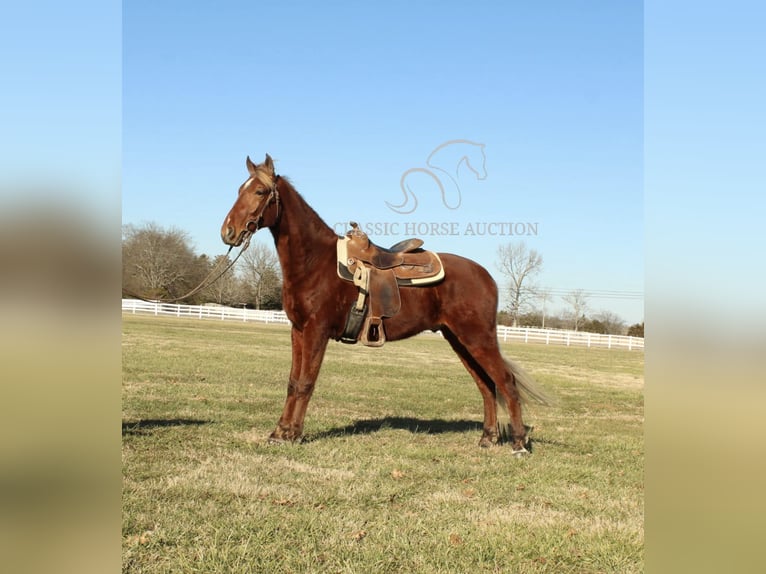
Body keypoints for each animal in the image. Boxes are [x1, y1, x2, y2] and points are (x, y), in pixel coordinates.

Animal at [222, 154, 552, 460]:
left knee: (505, 382)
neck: (315, 262)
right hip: (459, 339)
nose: (228, 232)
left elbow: (305, 383)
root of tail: (486, 276)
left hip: (478, 338)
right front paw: (280, 432)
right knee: (486, 385)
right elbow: (293, 382)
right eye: (240, 189)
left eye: (260, 191)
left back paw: (519, 444)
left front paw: (293, 434)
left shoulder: (316, 331)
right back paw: (487, 438)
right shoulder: (298, 331)